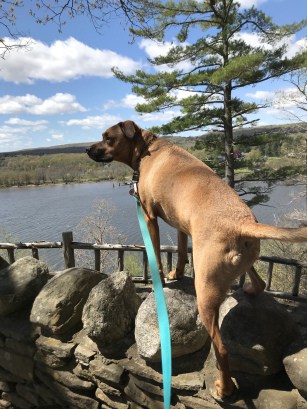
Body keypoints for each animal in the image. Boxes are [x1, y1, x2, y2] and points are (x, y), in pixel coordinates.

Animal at [86, 120, 307, 398]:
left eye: (109, 137)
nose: (86, 149)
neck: (147, 149)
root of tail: (243, 222)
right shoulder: (180, 223)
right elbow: (180, 251)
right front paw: (176, 273)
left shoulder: (149, 216)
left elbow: (156, 252)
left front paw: (160, 276)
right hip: (240, 260)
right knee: (259, 283)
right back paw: (250, 289)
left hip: (205, 289)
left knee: (221, 349)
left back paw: (225, 389)